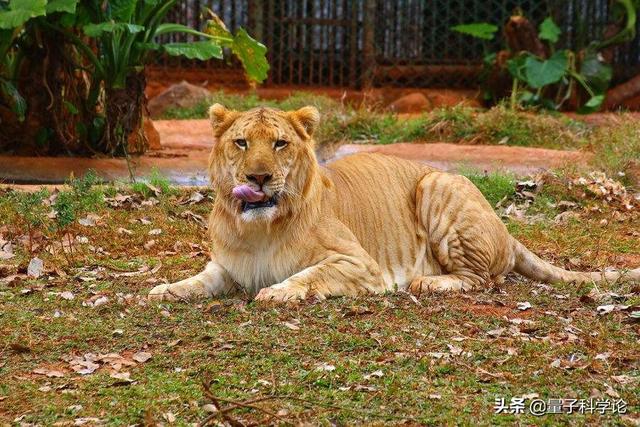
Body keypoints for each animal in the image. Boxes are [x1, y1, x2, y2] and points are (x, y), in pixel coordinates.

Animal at [148, 105, 636, 302]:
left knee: (483, 280)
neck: (258, 229)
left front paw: (277, 291)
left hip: (437, 183)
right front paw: (163, 290)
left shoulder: (360, 265)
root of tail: (505, 230)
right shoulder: (227, 267)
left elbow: (307, 275)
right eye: (242, 143)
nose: (259, 178)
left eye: (281, 144)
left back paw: (427, 283)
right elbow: (198, 280)